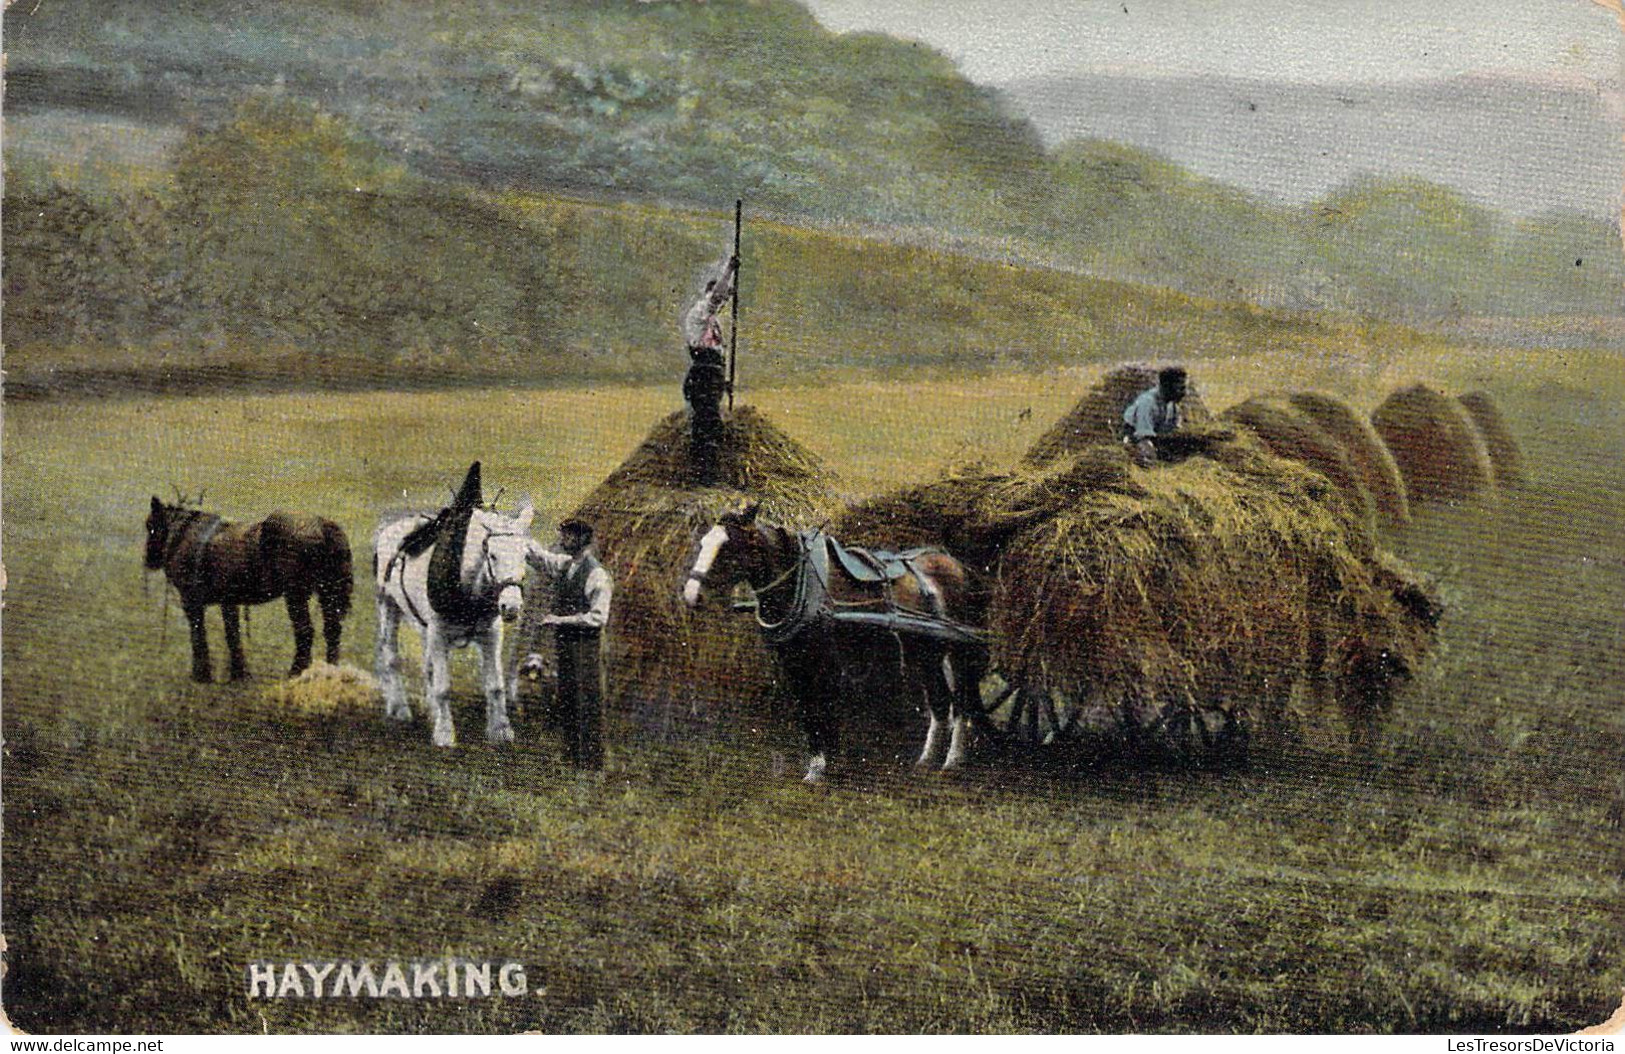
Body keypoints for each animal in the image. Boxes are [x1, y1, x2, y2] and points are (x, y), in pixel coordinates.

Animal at [143, 500, 355, 685]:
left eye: (150, 525)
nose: (148, 561)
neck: (186, 535)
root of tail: (323, 525)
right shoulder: (229, 602)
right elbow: (232, 634)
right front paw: (239, 674)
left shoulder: (192, 602)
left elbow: (198, 635)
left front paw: (201, 674)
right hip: (327, 592)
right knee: (332, 630)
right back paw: (329, 672)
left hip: (296, 596)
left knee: (305, 631)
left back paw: (296, 672)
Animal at [372, 503, 533, 743]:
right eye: (492, 555)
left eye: (524, 555)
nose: (511, 606)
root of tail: (390, 528)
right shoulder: (439, 635)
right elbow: (443, 687)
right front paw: (444, 733)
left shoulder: (491, 634)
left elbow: (495, 685)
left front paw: (501, 729)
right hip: (389, 606)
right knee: (391, 658)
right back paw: (399, 707)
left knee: (428, 666)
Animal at [685, 500, 988, 779]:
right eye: (703, 542)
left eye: (728, 547)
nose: (690, 594)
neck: (802, 583)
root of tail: (959, 566)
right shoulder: (794, 664)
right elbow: (807, 710)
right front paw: (815, 766)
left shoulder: (827, 663)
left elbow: (825, 708)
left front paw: (827, 764)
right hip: (926, 654)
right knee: (940, 702)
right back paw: (927, 760)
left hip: (959, 652)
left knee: (962, 703)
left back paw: (953, 759)